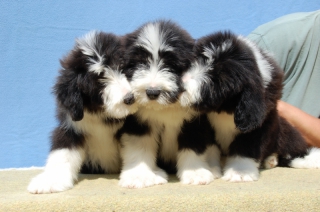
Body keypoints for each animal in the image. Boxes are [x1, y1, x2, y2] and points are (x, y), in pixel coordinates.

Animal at [28, 31, 137, 194]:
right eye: (99, 81)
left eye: (122, 67)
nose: (130, 98)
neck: (102, 114)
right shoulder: (71, 127)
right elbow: (62, 153)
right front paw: (49, 181)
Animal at [116, 19, 221, 188]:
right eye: (140, 63)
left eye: (171, 65)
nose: (152, 92)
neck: (164, 107)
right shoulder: (139, 123)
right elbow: (139, 147)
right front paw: (138, 176)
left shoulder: (193, 122)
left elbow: (193, 146)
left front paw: (195, 173)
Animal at [181, 31, 318, 182]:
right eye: (196, 60)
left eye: (218, 80)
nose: (182, 84)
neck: (226, 107)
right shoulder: (207, 125)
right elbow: (210, 147)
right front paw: (211, 168)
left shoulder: (260, 121)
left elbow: (245, 146)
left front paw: (239, 173)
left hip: (285, 131)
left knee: (292, 149)